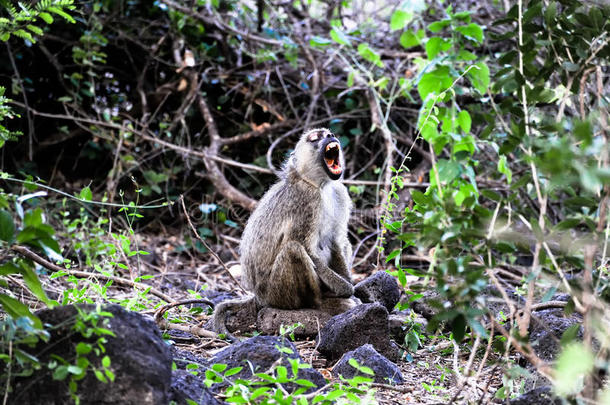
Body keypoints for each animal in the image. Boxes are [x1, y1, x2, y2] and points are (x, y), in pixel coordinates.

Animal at [214, 128, 354, 340]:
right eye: (315, 138)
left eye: (328, 133)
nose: (331, 137)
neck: (319, 185)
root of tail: (259, 297)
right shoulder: (306, 201)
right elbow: (304, 246)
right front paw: (346, 289)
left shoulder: (338, 193)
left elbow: (336, 242)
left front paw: (349, 286)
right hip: (275, 292)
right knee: (293, 249)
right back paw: (319, 302)